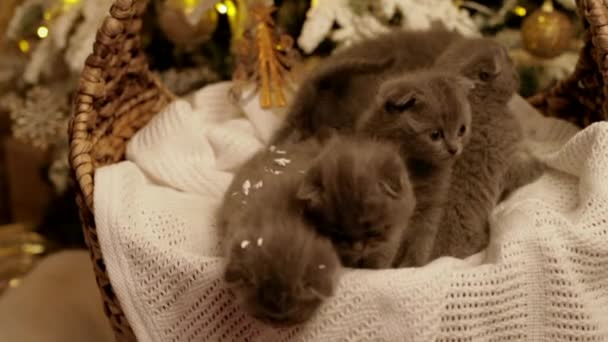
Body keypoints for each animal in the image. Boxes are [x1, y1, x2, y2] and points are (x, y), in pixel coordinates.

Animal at [356, 70, 476, 268]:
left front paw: (415, 267)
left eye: (462, 130)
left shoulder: (431, 210)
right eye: (435, 135)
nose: (453, 149)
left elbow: (421, 245)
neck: (416, 168)